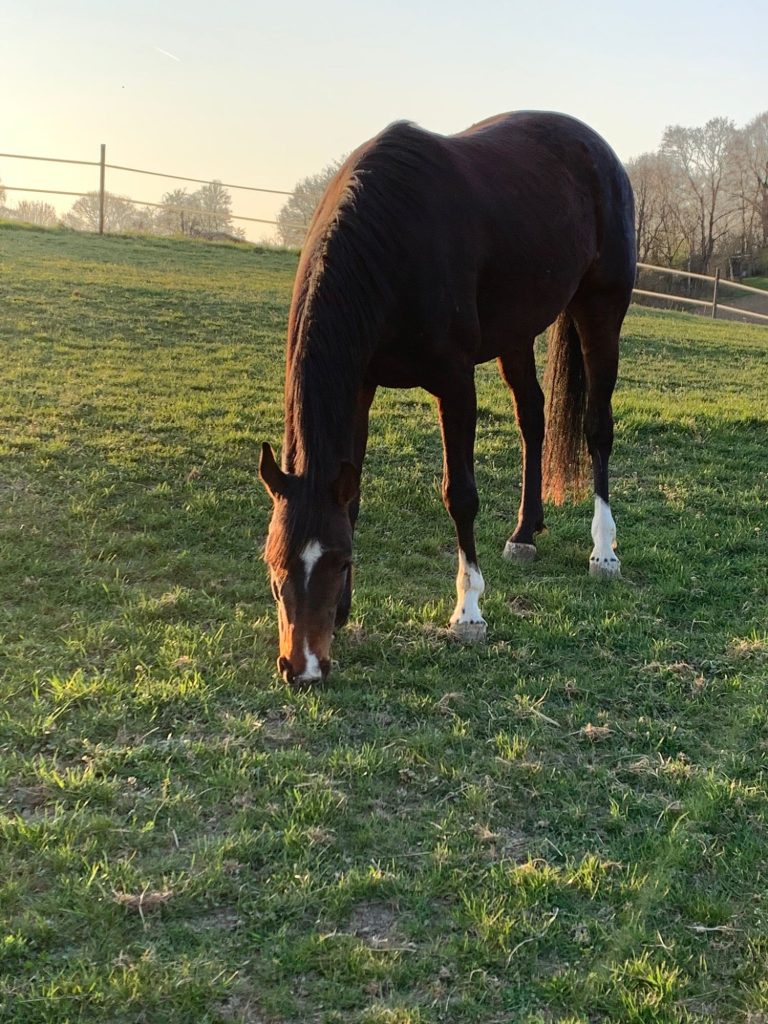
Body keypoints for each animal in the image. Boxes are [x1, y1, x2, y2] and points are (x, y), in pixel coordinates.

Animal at [259, 110, 636, 685]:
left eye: (338, 561)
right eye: (275, 565)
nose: (302, 668)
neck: (393, 238)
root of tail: (598, 149)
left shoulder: (455, 382)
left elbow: (460, 494)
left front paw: (469, 612)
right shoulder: (361, 387)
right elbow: (354, 496)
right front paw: (345, 611)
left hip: (600, 310)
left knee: (597, 426)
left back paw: (603, 551)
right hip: (516, 334)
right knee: (533, 419)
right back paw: (525, 532)